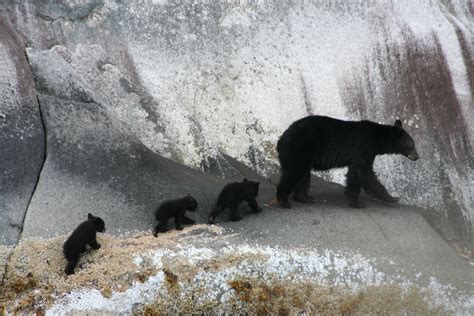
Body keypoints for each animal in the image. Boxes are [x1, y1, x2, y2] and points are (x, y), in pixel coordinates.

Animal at [278, 115, 418, 209]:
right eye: (411, 145)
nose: (417, 157)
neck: (377, 139)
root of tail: (281, 139)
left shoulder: (368, 154)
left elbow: (368, 176)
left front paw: (391, 198)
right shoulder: (362, 149)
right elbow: (358, 174)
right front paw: (357, 203)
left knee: (303, 176)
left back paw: (305, 198)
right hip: (300, 149)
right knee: (294, 173)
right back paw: (284, 201)